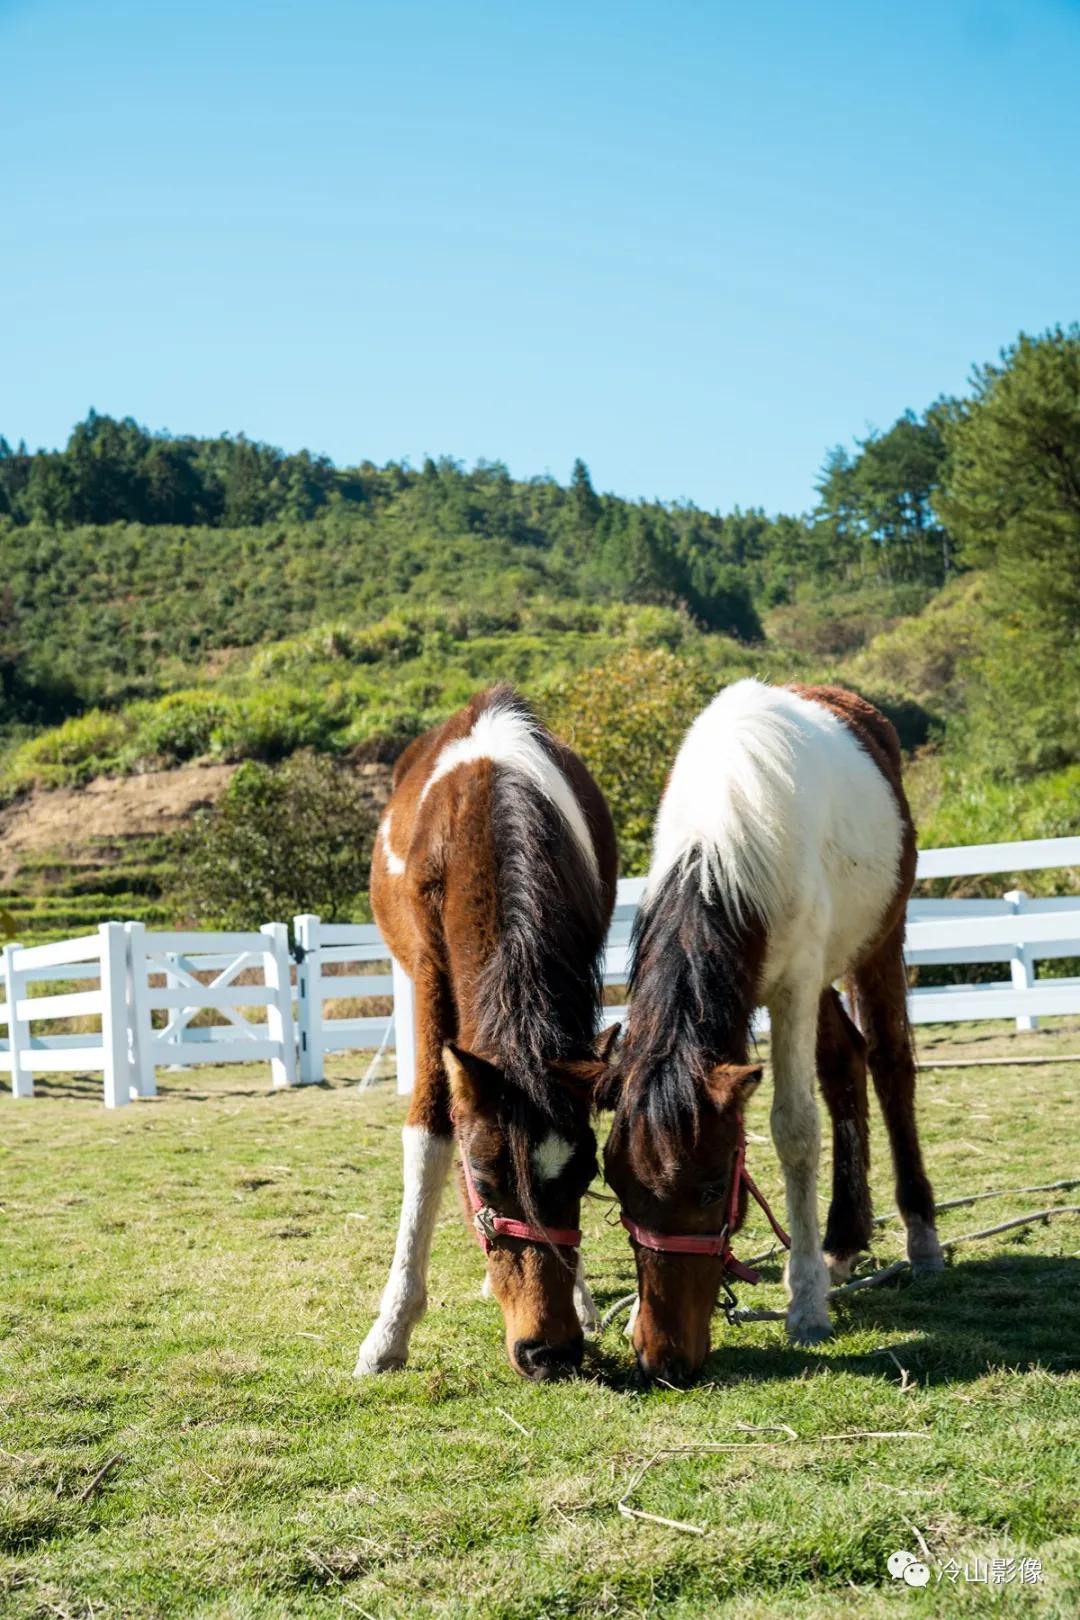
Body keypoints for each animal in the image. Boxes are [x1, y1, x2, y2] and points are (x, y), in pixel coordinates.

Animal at [354, 683, 615, 1380]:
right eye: (486, 1180)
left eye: (585, 1180)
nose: (548, 1352)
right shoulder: (430, 976)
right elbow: (428, 1135)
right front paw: (390, 1331)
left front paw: (581, 1301)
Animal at [599, 680, 945, 1380]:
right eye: (618, 1188)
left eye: (712, 1188)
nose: (661, 1357)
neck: (721, 856)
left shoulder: (794, 985)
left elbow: (794, 1131)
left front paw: (806, 1303)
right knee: (845, 1065)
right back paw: (842, 1240)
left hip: (875, 944)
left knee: (889, 1066)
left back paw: (919, 1236)